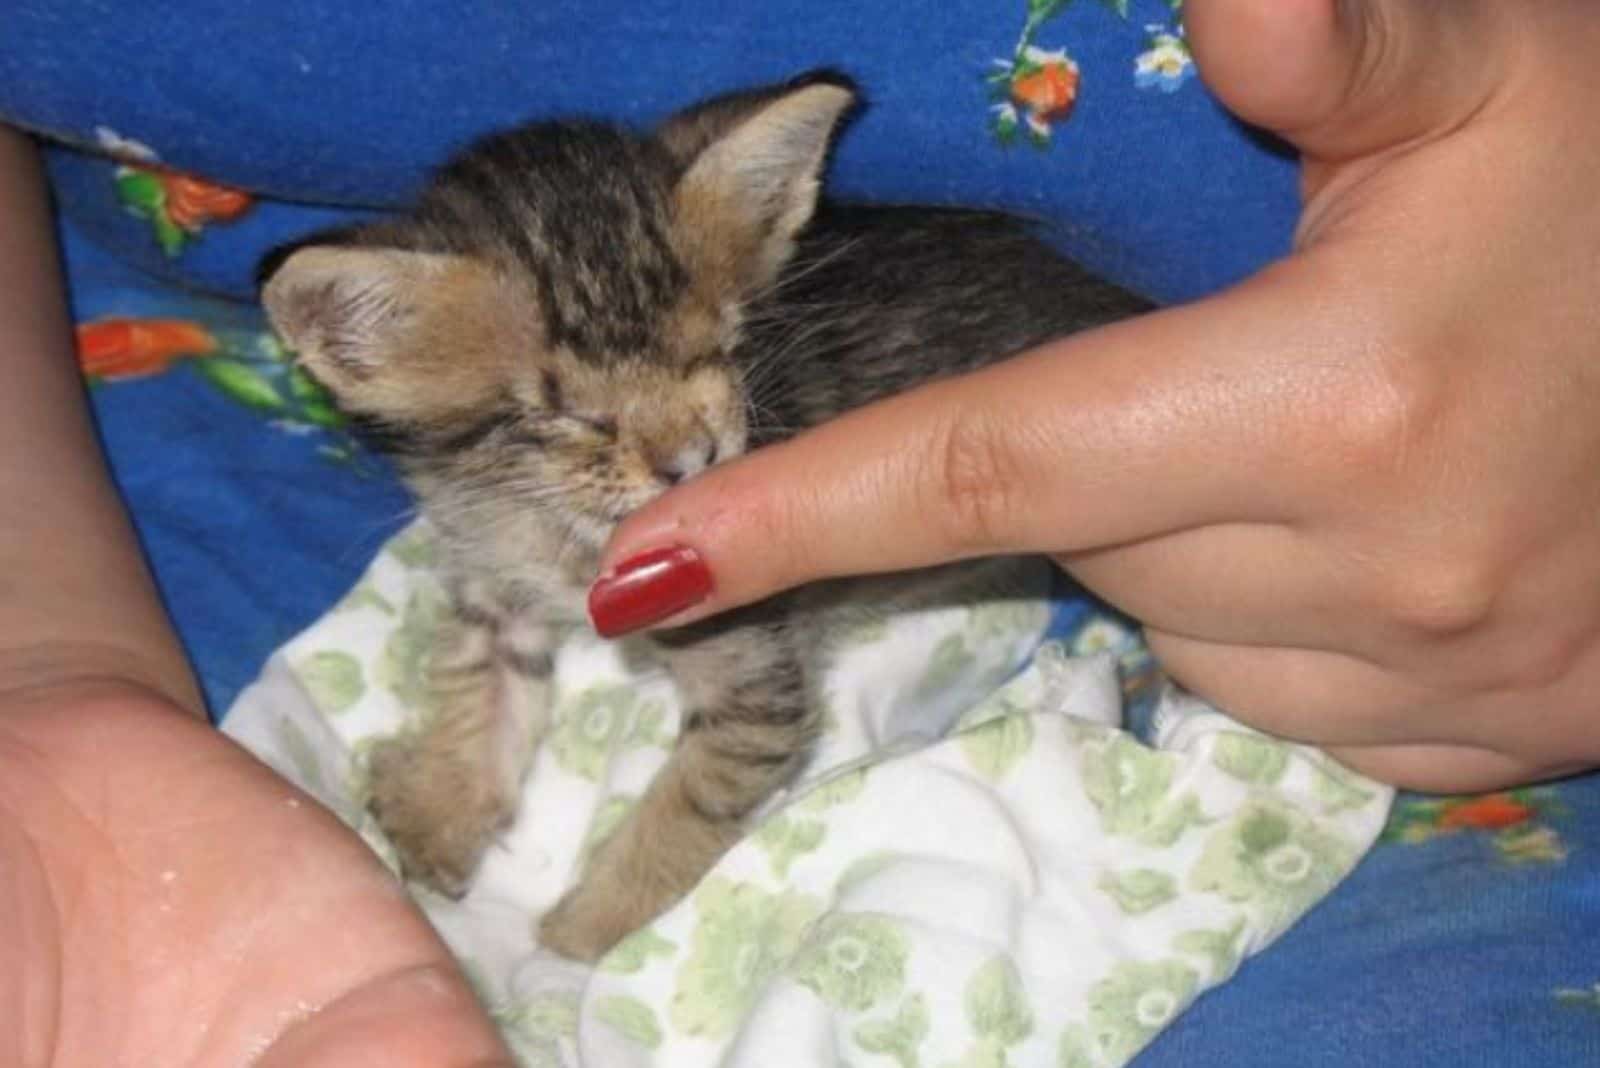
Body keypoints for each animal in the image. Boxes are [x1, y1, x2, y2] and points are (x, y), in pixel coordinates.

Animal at [259, 70, 1152, 965]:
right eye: (569, 414)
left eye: (717, 351)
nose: (694, 458)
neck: (561, 534)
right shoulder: (493, 570)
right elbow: (479, 677)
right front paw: (440, 809)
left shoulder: (751, 671)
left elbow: (692, 804)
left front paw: (579, 937)